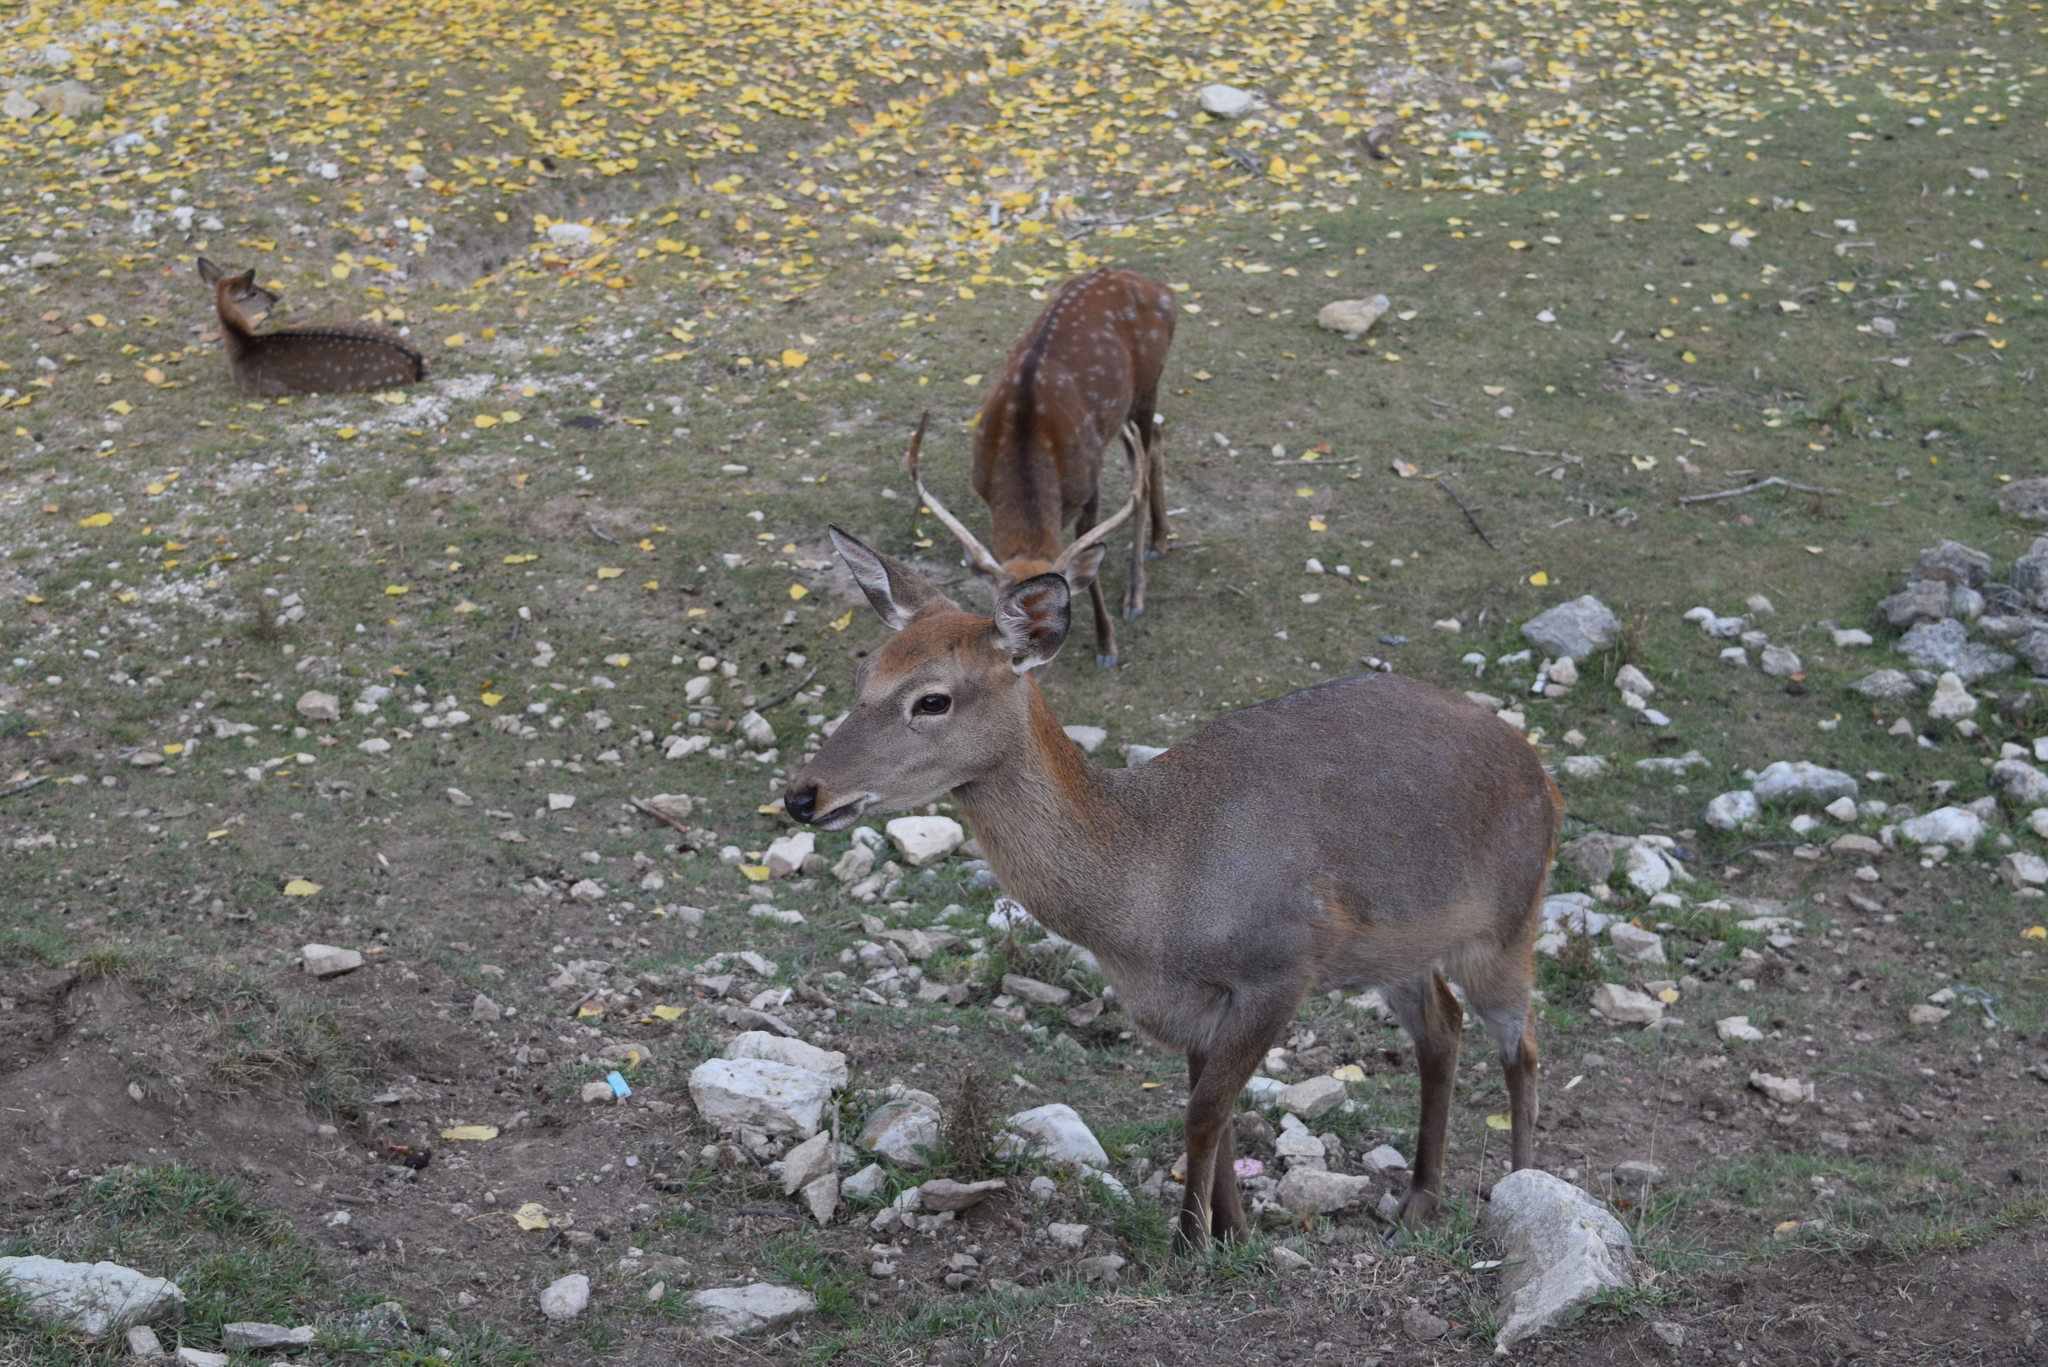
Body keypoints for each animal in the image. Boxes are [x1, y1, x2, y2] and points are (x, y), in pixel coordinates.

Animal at [790, 532, 1556, 1254]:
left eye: (933, 698)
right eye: (863, 671)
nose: (804, 793)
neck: (1148, 909)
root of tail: (1541, 769)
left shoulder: (1280, 968)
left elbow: (1204, 1112)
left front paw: (1189, 1245)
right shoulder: (1196, 1001)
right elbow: (1211, 1110)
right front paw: (1233, 1231)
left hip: (1510, 919)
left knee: (1522, 1045)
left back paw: (1521, 1186)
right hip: (1401, 952)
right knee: (1442, 1026)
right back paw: (1419, 1200)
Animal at [909, 266, 1179, 668]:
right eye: (997, 611)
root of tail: (1161, 286)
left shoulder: (1087, 483)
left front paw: (1106, 644)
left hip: (1149, 384)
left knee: (1143, 471)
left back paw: (1136, 595)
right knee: (1156, 441)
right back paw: (1160, 539)